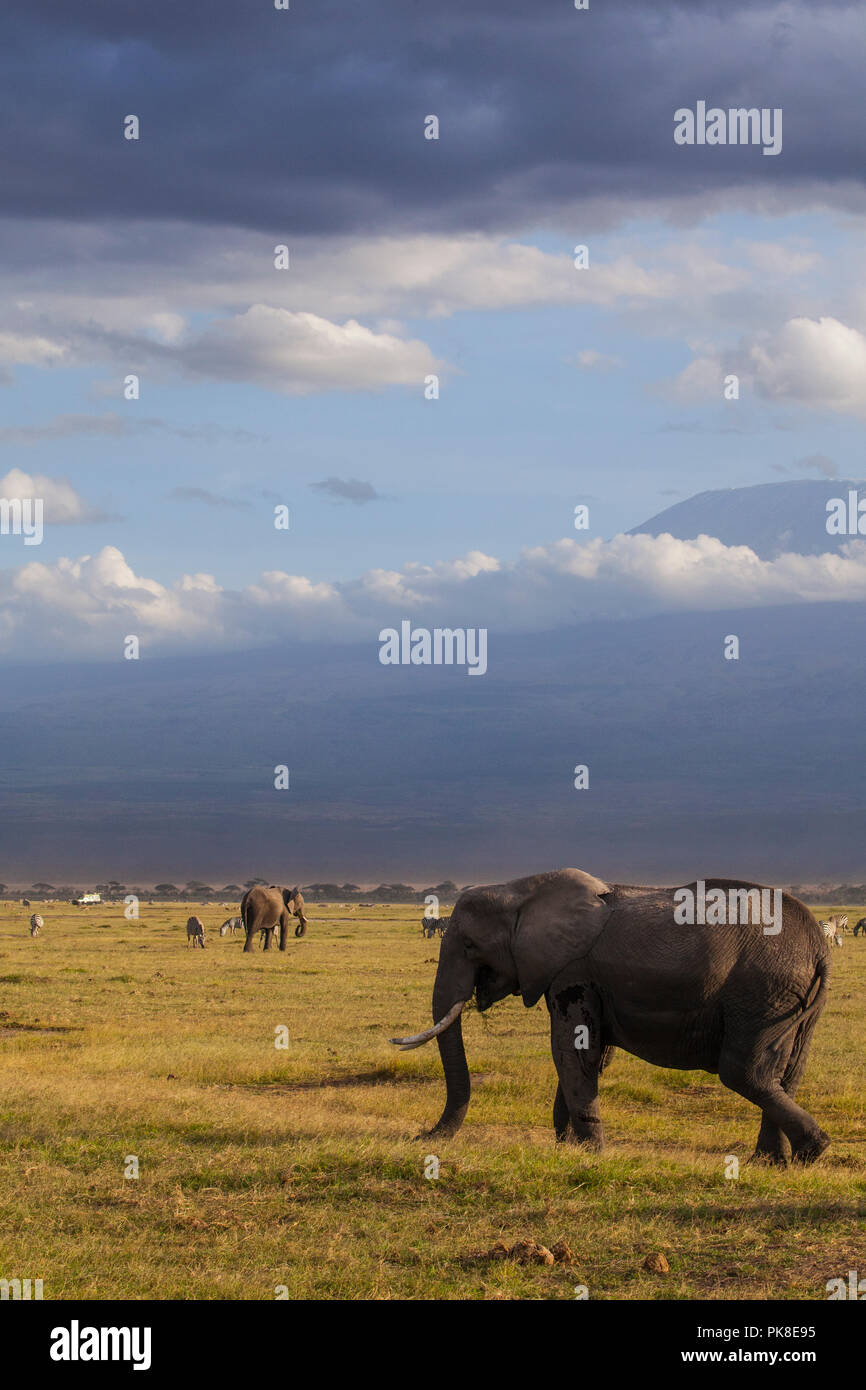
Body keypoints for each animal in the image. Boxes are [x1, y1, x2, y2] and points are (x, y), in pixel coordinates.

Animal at [389, 867, 828, 1162]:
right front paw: (567, 1148)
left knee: (745, 1073)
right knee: (787, 1073)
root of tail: (819, 946)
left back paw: (813, 1151)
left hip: (761, 992)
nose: (422, 1138)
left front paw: (587, 1153)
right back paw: (772, 1163)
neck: (516, 891)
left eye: (468, 945)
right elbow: (588, 1055)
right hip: (793, 1000)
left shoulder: (572, 970)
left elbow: (570, 1051)